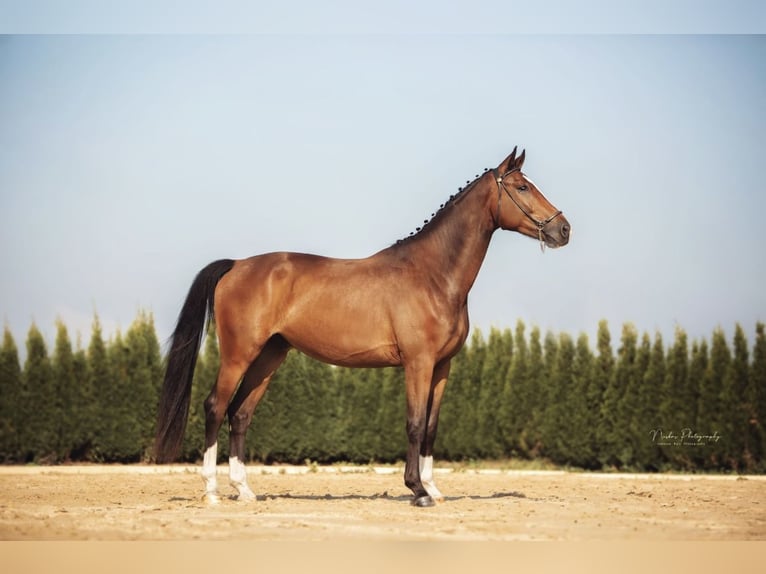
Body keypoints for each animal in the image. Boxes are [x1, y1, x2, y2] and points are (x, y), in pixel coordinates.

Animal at [158, 148, 568, 508]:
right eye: (522, 187)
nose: (564, 229)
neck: (433, 275)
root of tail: (237, 265)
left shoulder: (442, 366)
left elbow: (432, 428)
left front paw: (434, 489)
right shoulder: (418, 363)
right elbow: (414, 424)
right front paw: (417, 491)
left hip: (270, 356)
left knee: (240, 414)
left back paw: (244, 491)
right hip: (239, 354)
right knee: (215, 407)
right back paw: (212, 492)